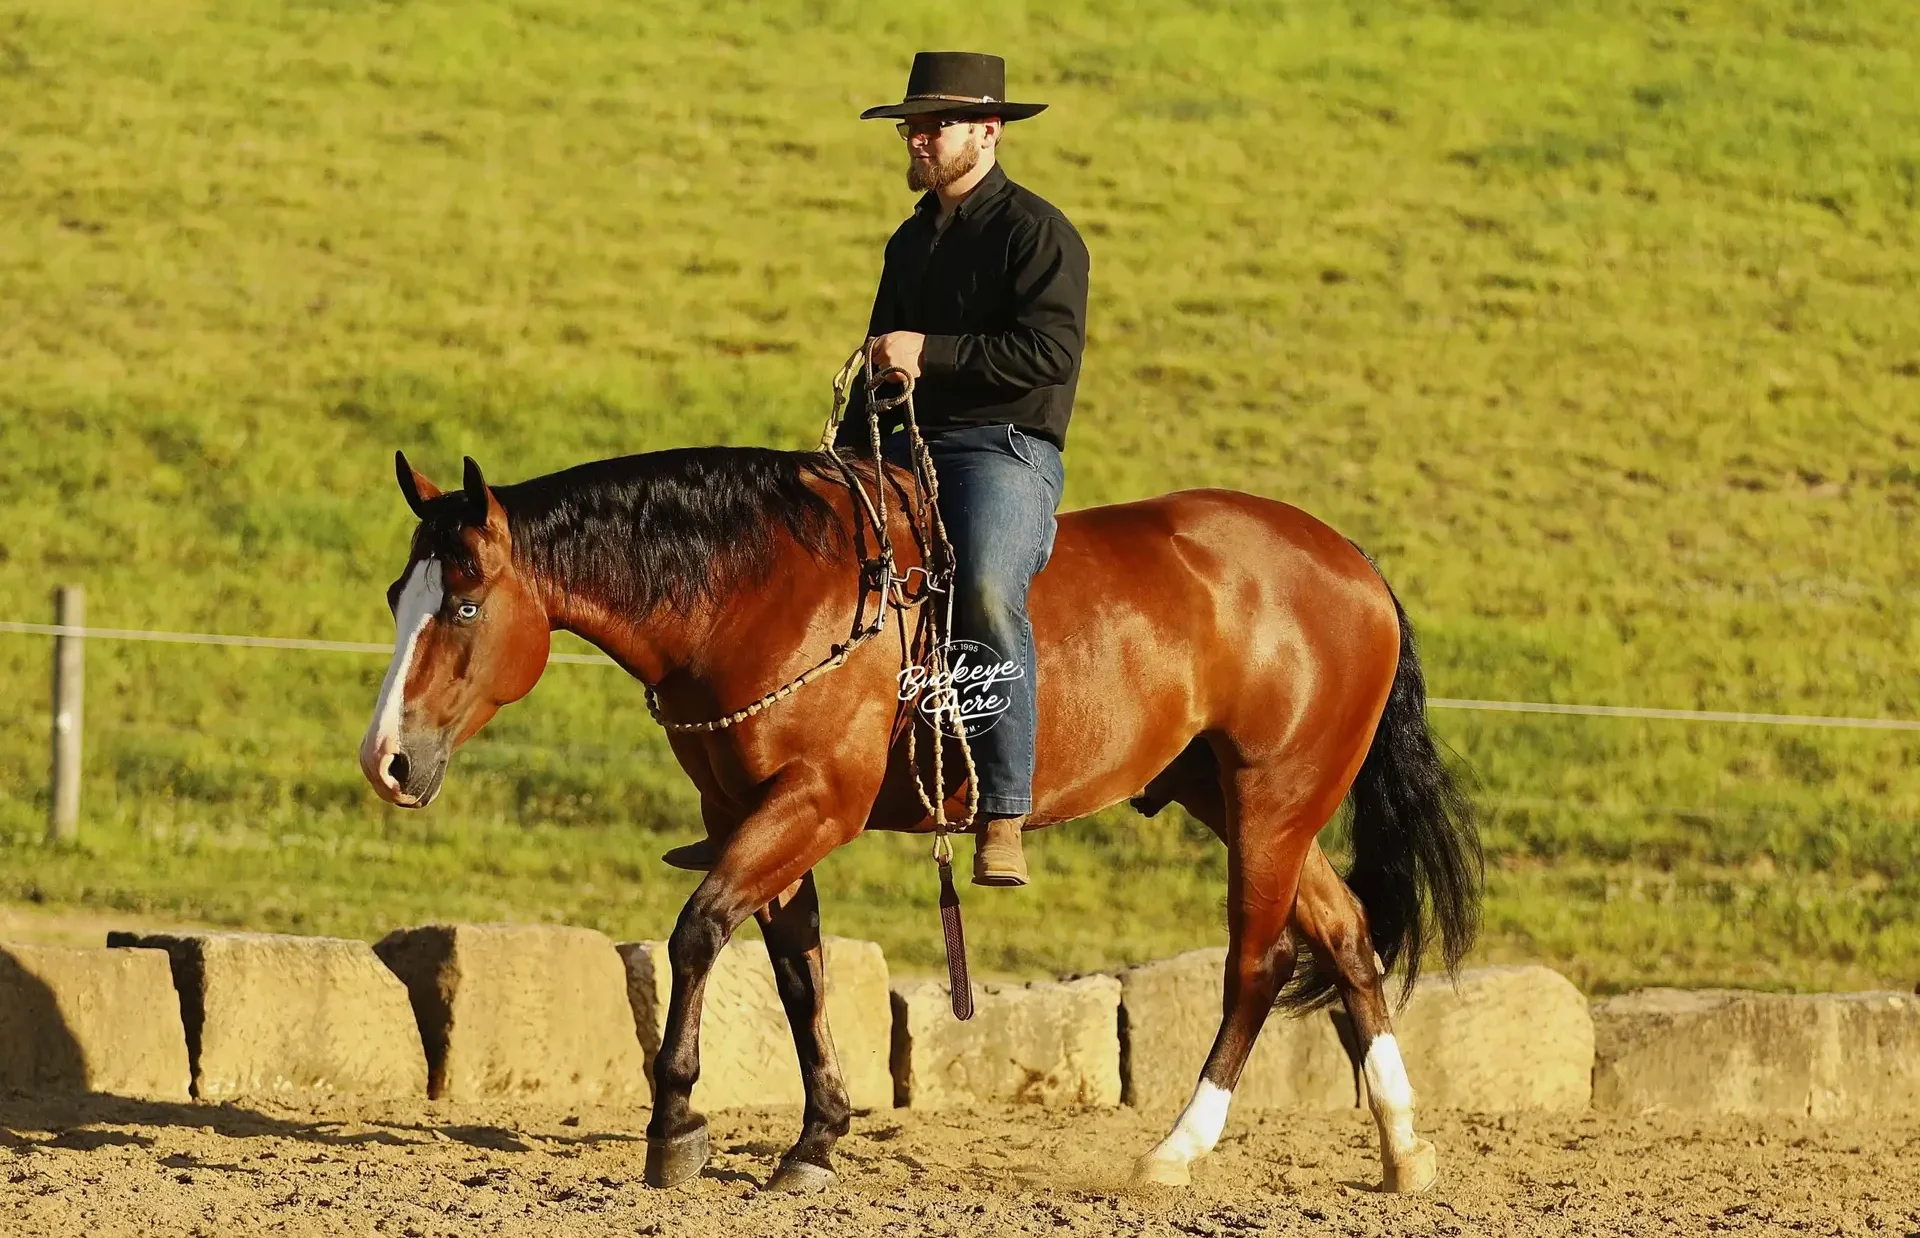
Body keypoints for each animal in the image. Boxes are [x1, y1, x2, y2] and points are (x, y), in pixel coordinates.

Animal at [358, 446, 1480, 1195]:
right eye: (394, 593)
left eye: (461, 605)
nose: (388, 760)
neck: (761, 590)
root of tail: (1350, 564)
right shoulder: (753, 812)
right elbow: (797, 969)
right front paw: (815, 1138)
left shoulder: (810, 803)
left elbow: (700, 930)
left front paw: (675, 1122)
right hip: (1242, 799)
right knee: (1346, 937)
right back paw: (1404, 1148)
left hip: (1270, 801)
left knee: (1257, 962)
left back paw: (1174, 1150)